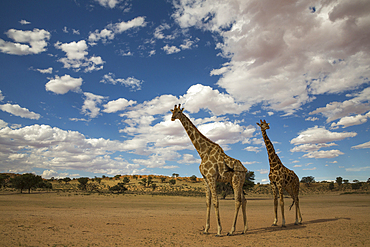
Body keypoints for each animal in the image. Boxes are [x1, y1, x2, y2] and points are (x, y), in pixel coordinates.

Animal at [171, 103, 249, 235]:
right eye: (172, 111)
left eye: (179, 112)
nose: (172, 118)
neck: (202, 152)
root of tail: (245, 169)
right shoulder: (205, 178)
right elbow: (208, 202)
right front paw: (206, 229)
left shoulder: (212, 177)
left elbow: (216, 202)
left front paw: (218, 230)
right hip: (240, 182)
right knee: (244, 200)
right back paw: (244, 229)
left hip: (235, 180)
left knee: (237, 201)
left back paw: (231, 230)